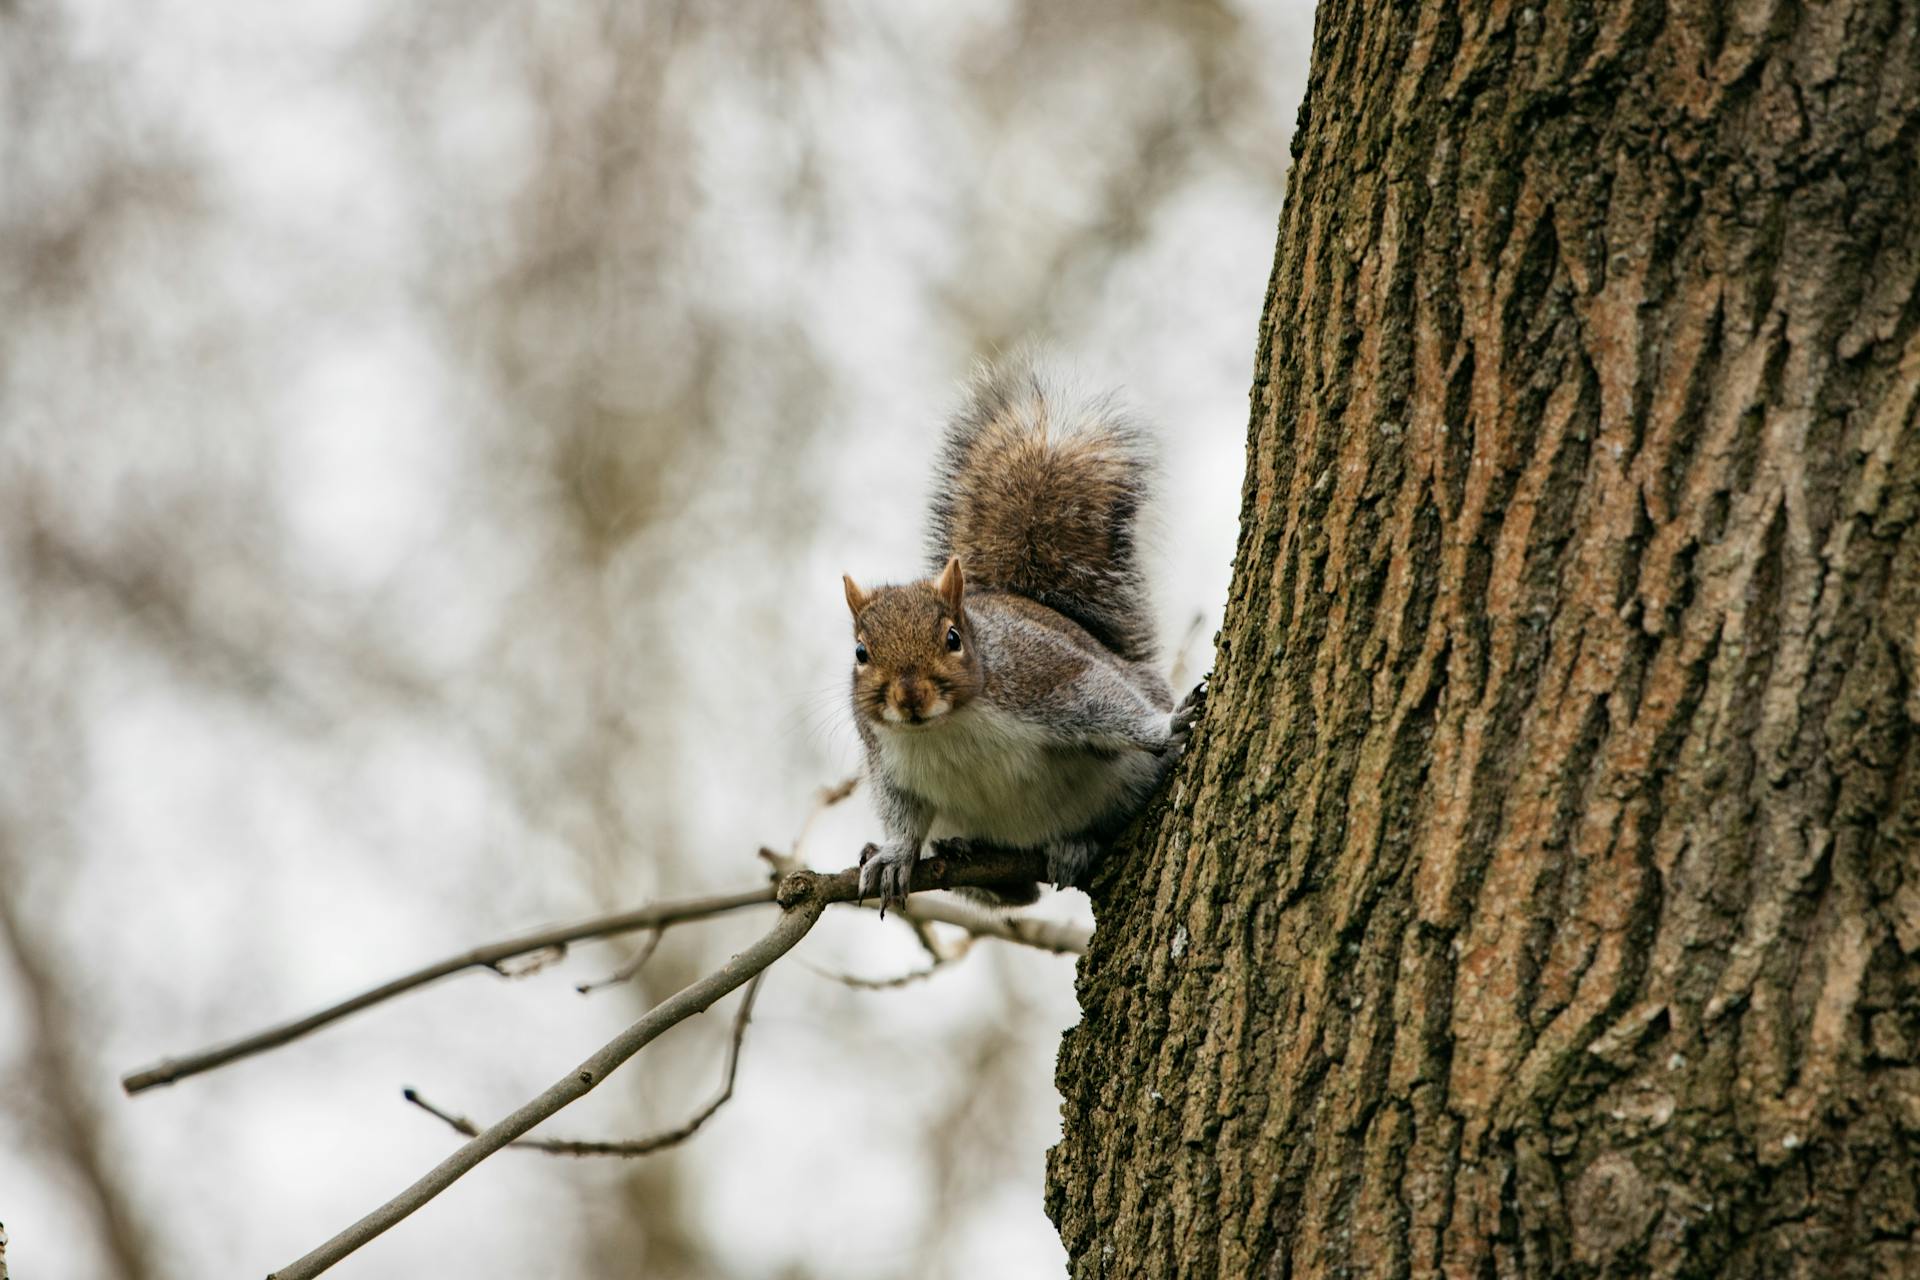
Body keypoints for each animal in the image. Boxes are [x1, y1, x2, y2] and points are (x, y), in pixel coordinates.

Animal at [840, 351, 1198, 909]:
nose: (910, 697)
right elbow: (901, 812)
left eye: (952, 638)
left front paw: (1163, 726)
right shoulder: (887, 761)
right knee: (1019, 896)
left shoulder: (1041, 675)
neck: (945, 726)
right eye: (860, 652)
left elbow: (1102, 699)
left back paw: (1076, 845)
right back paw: (969, 856)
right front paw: (895, 854)